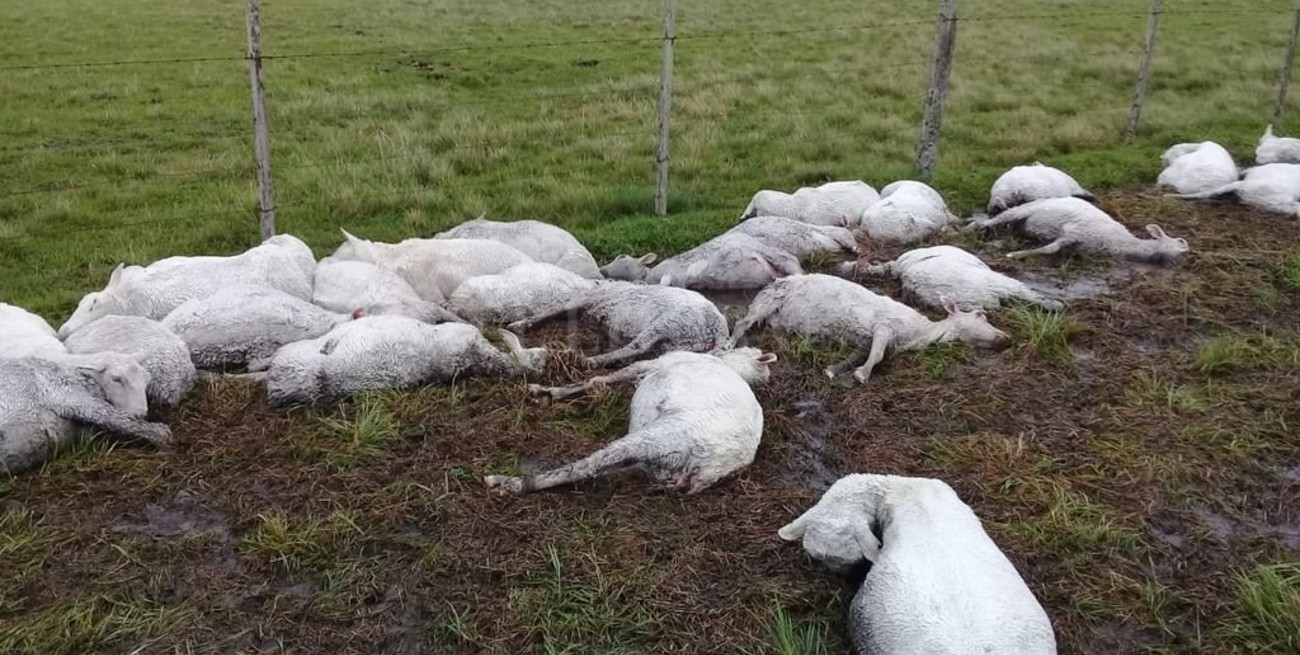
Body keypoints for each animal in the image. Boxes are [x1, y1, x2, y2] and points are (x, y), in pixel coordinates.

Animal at [1, 356, 170, 475]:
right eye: (116, 379)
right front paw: (161, 434)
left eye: (146, 381)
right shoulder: (67, 394)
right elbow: (114, 416)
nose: (140, 413)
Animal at [484, 348, 776, 495]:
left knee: (587, 466)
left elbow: (600, 379)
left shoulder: (652, 363)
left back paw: (509, 483)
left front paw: (545, 391)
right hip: (659, 461)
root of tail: (710, 469)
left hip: (664, 435)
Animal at [508, 281, 730, 367]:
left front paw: (518, 324)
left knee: (636, 347)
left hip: (668, 323)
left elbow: (550, 311)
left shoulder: (583, 300)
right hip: (675, 344)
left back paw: (591, 360)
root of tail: (717, 331)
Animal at [729, 274, 1010, 383]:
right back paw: (730, 343)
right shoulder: (884, 326)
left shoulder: (870, 339)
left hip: (776, 318)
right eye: (980, 315)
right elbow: (878, 354)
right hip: (766, 301)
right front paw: (861, 375)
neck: (917, 333)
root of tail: (773, 282)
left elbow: (864, 353)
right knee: (742, 322)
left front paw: (834, 370)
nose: (1007, 338)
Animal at [968, 197, 1190, 263]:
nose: (1176, 264)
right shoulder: (1073, 231)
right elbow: (1050, 249)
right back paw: (968, 228)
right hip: (1022, 210)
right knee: (992, 220)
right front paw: (1015, 254)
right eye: (1178, 245)